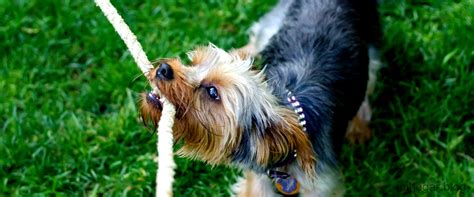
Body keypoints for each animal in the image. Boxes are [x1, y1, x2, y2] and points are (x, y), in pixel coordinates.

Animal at [140, 0, 382, 195]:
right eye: (194, 63)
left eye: (213, 92)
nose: (163, 69)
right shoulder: (258, 182)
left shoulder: (322, 187)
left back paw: (359, 126)